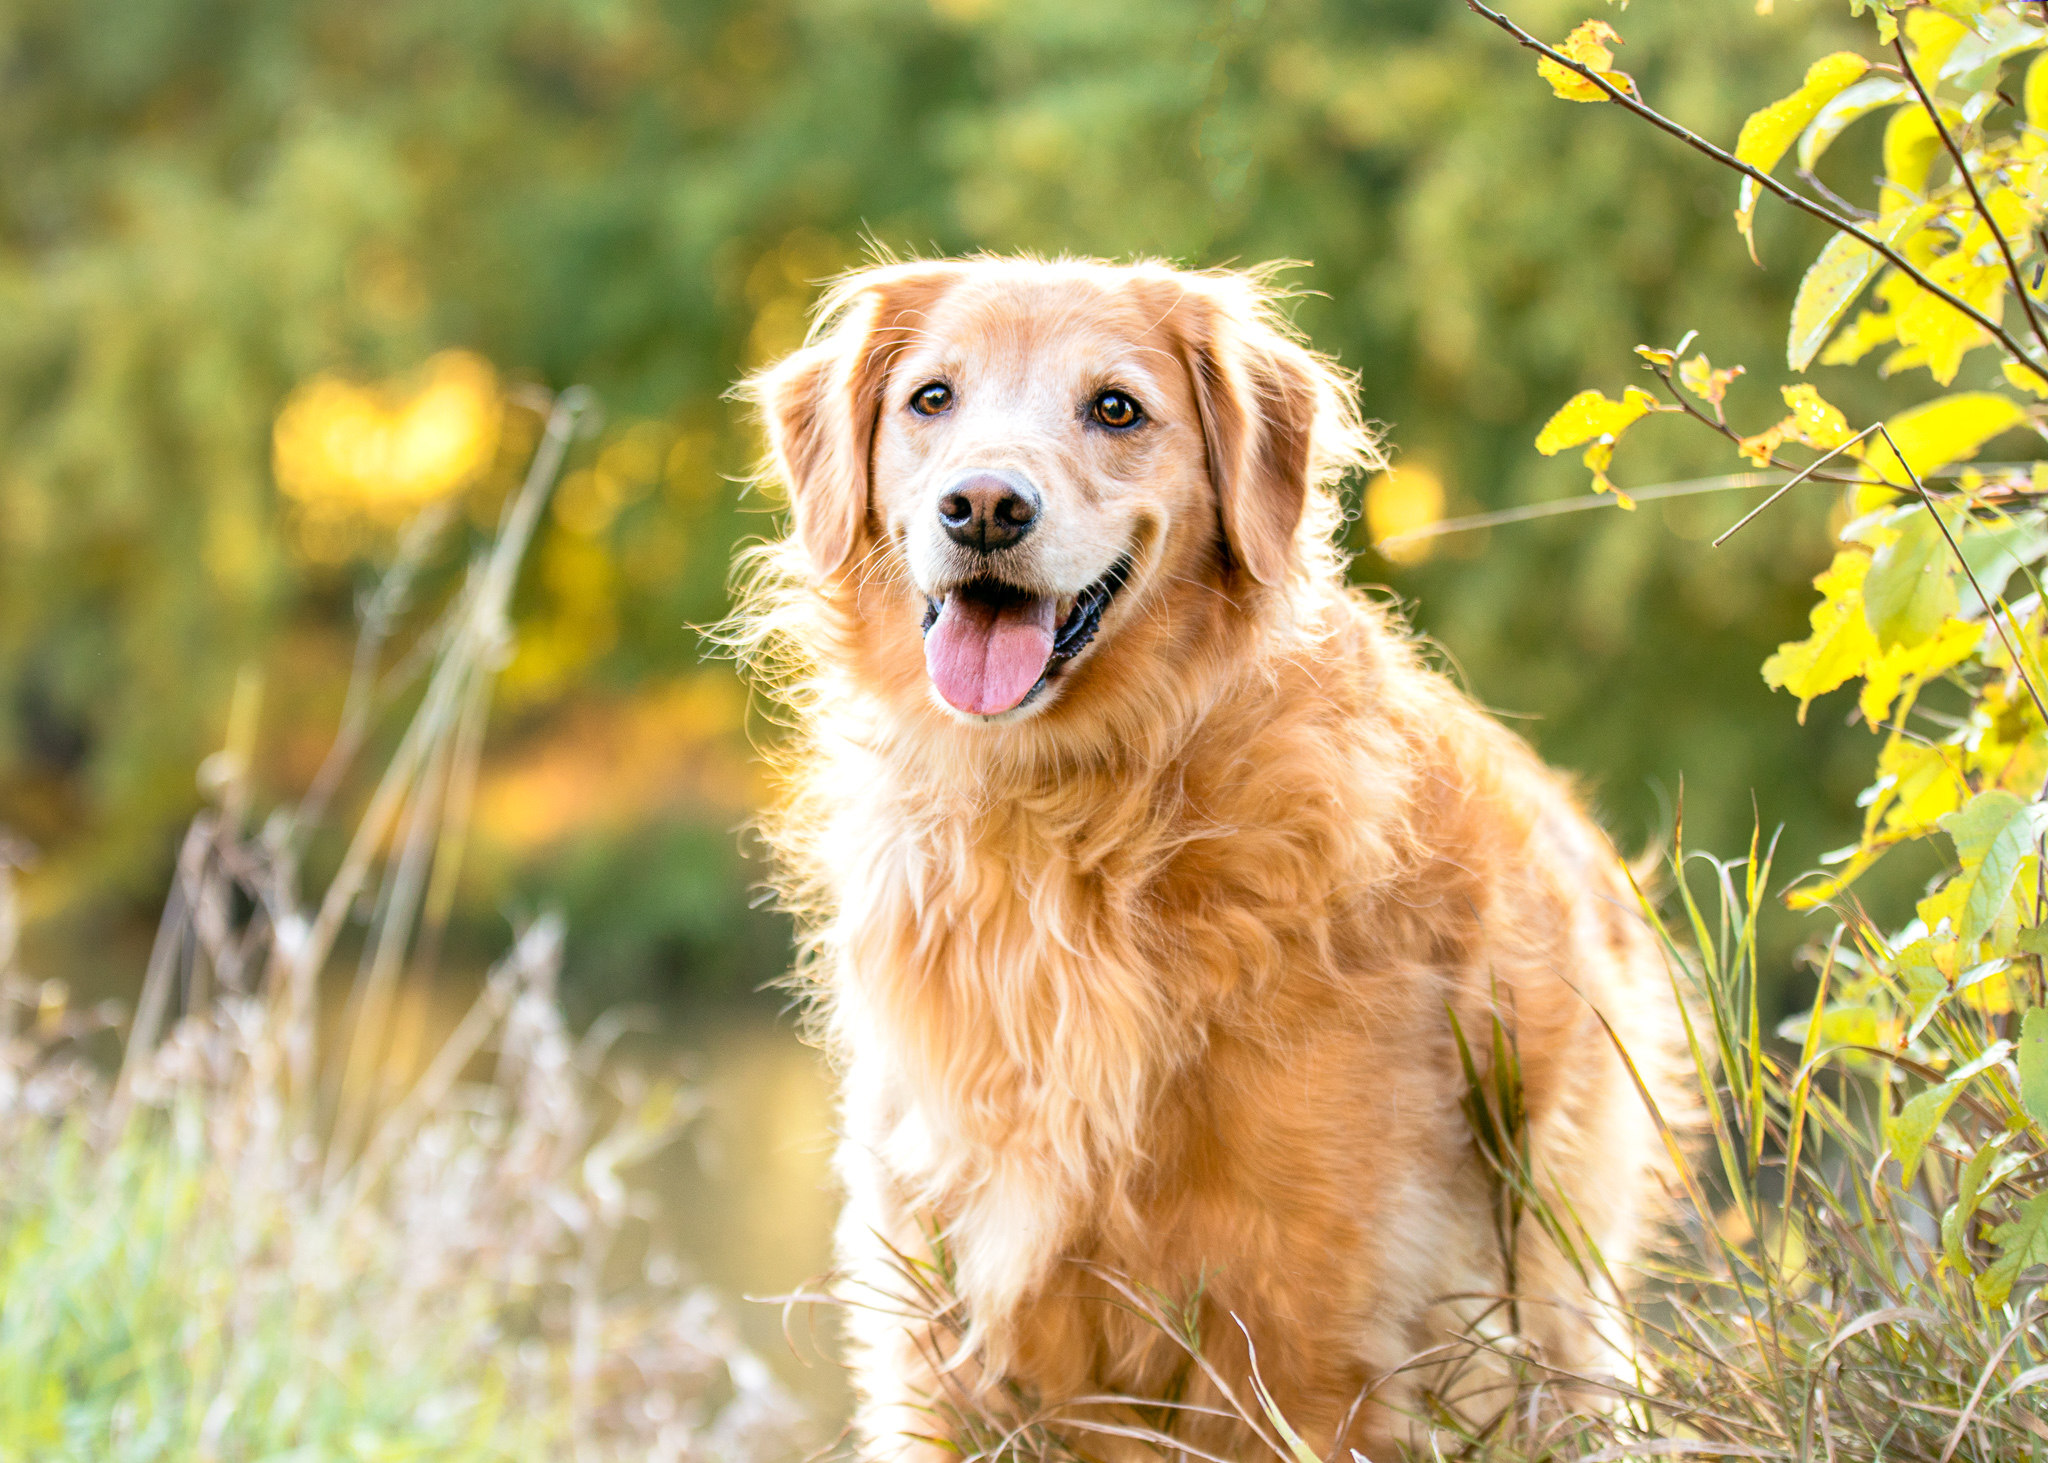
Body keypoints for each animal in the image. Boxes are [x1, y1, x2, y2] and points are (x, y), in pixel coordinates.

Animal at [737, 256, 1679, 1450]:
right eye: (930, 398)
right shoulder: (932, 1317)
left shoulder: (1308, 1329)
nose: (985, 505)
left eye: (1115, 408)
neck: (1060, 815)